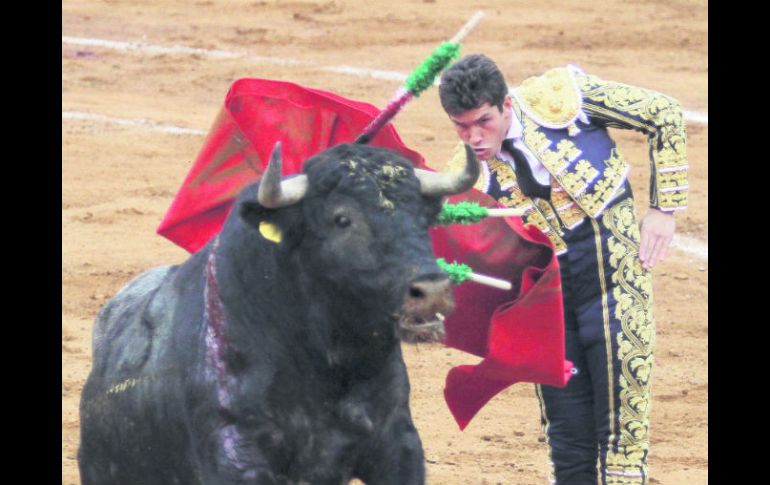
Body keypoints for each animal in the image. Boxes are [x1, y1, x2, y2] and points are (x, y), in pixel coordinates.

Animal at [79, 142, 480, 482]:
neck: (329, 365)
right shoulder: (236, 454)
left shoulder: (398, 444)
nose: (431, 292)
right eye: (342, 219)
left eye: (423, 217)